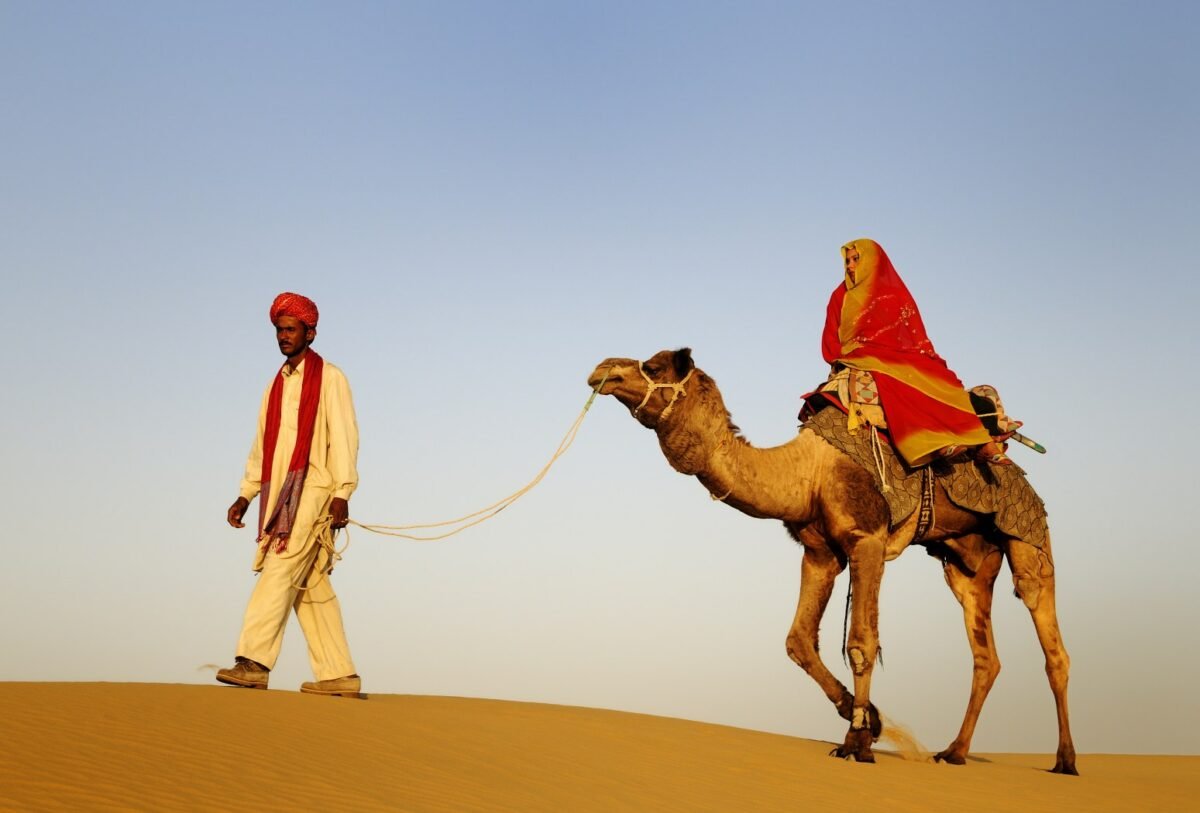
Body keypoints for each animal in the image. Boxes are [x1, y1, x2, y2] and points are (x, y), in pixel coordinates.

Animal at [587, 348, 1077, 774]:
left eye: (652, 366)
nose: (602, 369)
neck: (808, 472)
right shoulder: (820, 553)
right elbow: (798, 641)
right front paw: (868, 719)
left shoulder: (868, 540)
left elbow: (862, 642)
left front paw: (857, 744)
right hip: (965, 562)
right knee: (985, 655)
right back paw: (954, 752)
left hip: (1028, 536)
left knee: (1051, 641)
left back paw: (1065, 760)